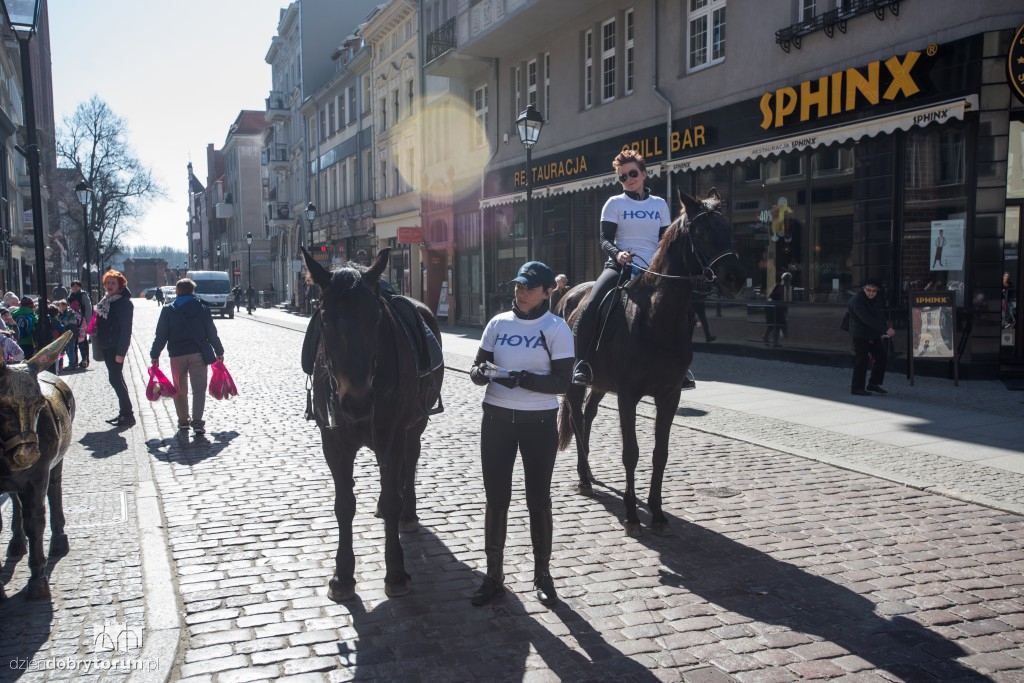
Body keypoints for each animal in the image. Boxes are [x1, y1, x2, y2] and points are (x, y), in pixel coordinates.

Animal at [1, 331, 75, 598]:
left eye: (40, 404)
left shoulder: (36, 478)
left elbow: (35, 520)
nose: (28, 454)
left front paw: (37, 580)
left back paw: (58, 540)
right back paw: (16, 543)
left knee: (54, 491)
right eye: (4, 407)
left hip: (56, 464)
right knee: (15, 502)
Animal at [299, 248, 444, 602]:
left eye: (376, 318)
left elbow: (393, 498)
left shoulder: (392, 433)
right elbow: (344, 505)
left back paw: (408, 514)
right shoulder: (333, 443)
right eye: (325, 318)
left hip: (414, 425)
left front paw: (396, 572)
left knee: (409, 460)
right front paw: (343, 575)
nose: (357, 401)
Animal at [561, 189, 745, 536]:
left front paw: (657, 513)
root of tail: (567, 295)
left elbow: (660, 454)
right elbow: (631, 453)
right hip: (577, 383)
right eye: (700, 233)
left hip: (601, 383)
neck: (656, 318)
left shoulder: (669, 396)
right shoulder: (628, 396)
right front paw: (633, 515)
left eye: (729, 229)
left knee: (589, 415)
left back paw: (589, 473)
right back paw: (583, 478)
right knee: (577, 418)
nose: (734, 278)